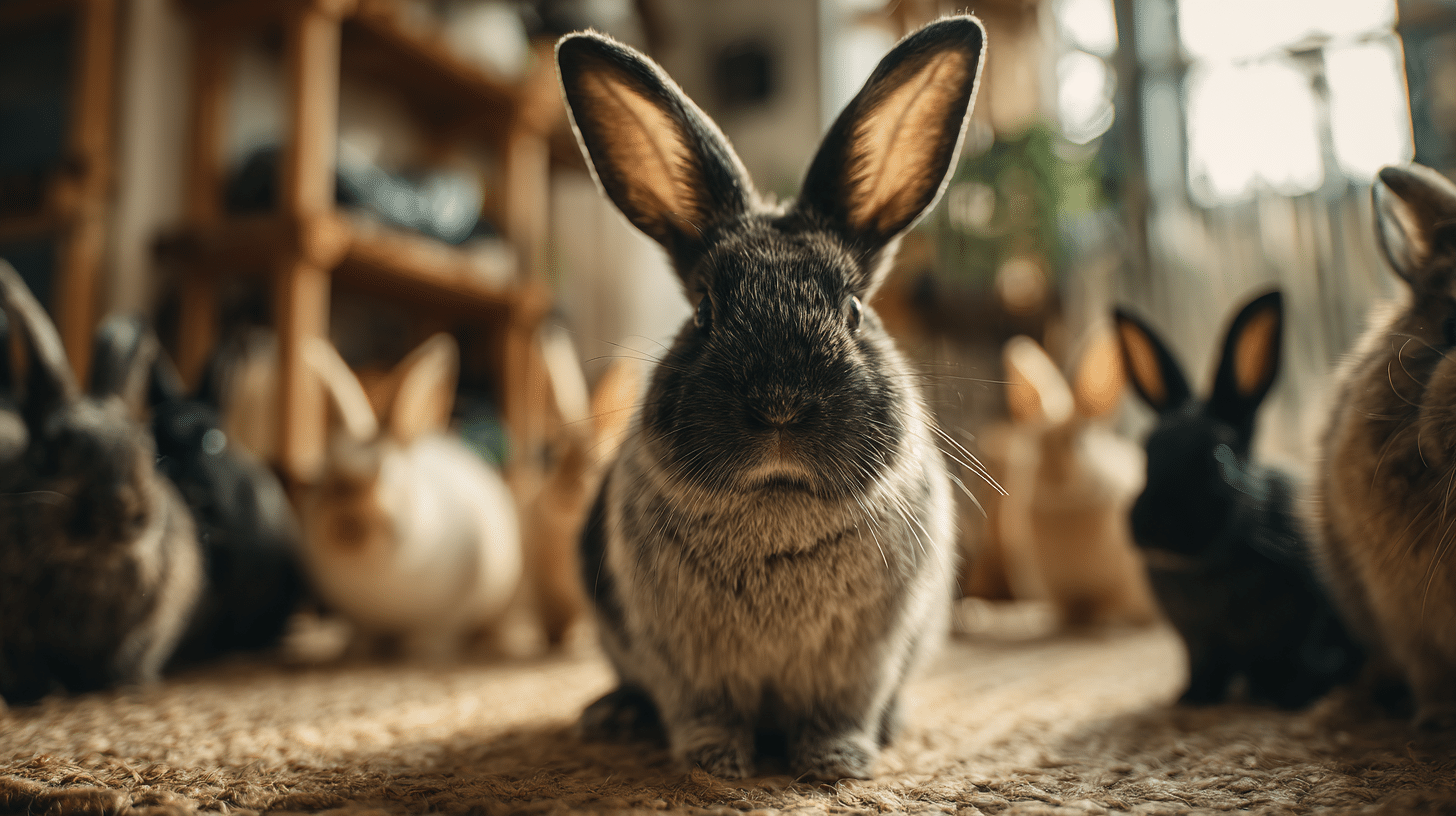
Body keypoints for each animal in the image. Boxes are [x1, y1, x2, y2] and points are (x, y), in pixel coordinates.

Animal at [0, 261, 202, 704]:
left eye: (145, 444)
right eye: (50, 449)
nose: (118, 505)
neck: (93, 566)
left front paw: (123, 686)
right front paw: (35, 692)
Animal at [300, 332, 523, 660]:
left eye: (388, 477)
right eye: (323, 478)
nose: (348, 525)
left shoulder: (450, 615)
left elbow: (435, 634)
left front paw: (420, 651)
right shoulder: (363, 622)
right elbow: (363, 634)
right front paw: (356, 651)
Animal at [557, 15, 983, 780]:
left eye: (852, 310)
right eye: (704, 311)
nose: (781, 405)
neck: (777, 503)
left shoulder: (862, 663)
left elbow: (840, 712)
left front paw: (836, 763)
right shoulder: (685, 666)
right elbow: (704, 711)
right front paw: (715, 764)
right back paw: (611, 716)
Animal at [993, 331, 1159, 628]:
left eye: (1079, 442)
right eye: (1034, 445)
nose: (1054, 477)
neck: (1065, 507)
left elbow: (1110, 605)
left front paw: (1108, 620)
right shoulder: (1058, 590)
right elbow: (1067, 609)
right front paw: (1064, 622)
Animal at [1115, 290, 1363, 709]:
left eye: (1219, 458)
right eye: (1147, 452)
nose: (1152, 522)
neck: (1211, 569)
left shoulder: (1314, 618)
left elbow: (1309, 658)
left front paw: (1293, 699)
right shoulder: (1198, 644)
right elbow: (1203, 669)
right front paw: (1192, 700)